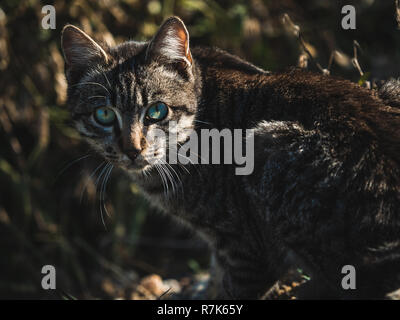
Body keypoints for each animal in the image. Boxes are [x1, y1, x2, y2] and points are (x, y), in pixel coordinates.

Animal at [61, 16, 400, 298]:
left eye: (157, 111)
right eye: (104, 115)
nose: (132, 150)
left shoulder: (245, 251)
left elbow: (231, 288)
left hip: (266, 145)